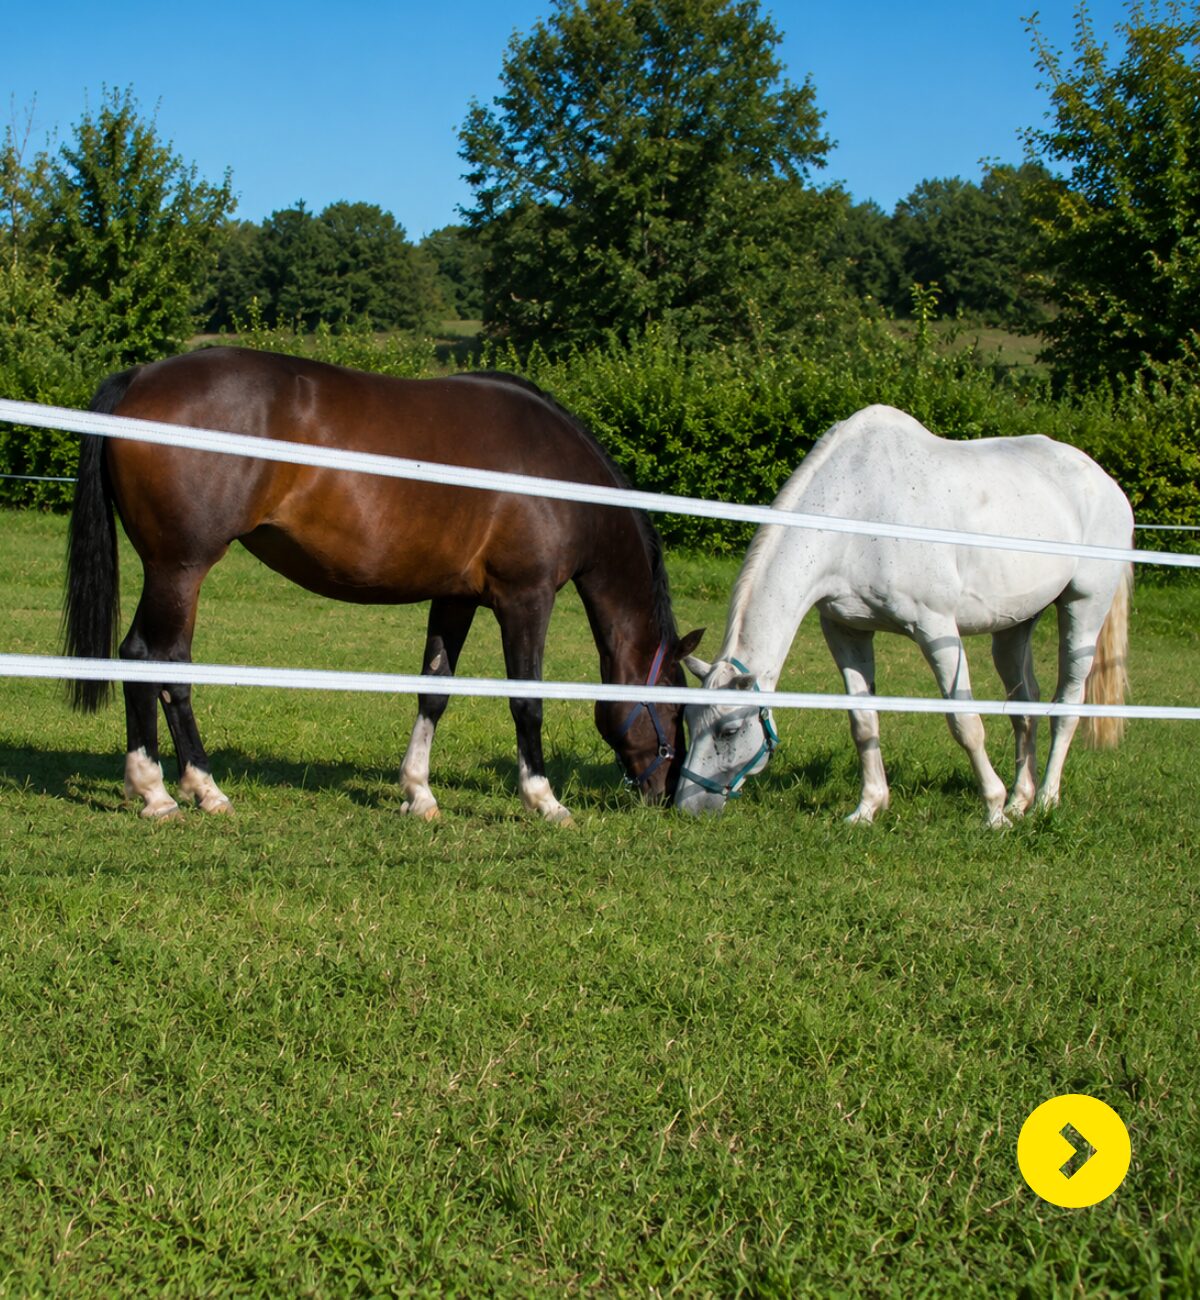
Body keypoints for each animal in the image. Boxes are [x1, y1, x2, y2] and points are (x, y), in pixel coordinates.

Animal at [63, 346, 702, 823]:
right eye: (676, 710)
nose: (668, 794)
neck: (557, 475)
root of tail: (140, 378)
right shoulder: (526, 597)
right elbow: (527, 701)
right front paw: (545, 800)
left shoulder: (456, 597)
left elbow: (434, 690)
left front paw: (419, 792)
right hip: (180, 569)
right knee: (160, 662)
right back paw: (178, 790)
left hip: (166, 571)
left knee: (139, 657)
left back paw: (163, 785)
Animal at [674, 405, 1133, 827]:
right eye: (689, 719)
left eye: (729, 730)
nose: (686, 806)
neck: (856, 511)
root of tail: (1106, 483)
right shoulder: (846, 630)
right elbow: (863, 721)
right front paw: (867, 808)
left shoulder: (936, 628)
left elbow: (964, 722)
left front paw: (993, 811)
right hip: (1015, 627)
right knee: (1024, 707)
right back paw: (1022, 799)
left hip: (1083, 609)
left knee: (1068, 705)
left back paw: (1044, 802)